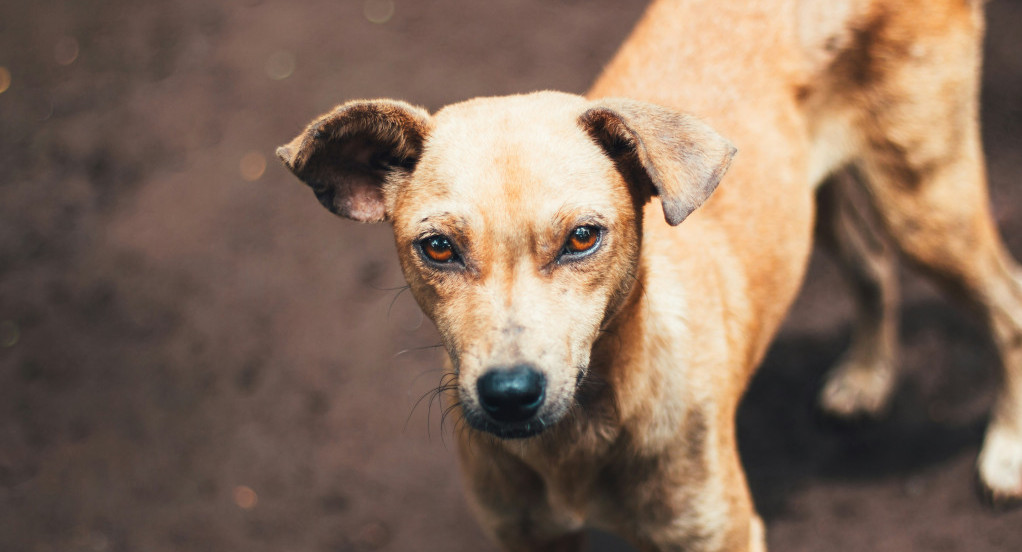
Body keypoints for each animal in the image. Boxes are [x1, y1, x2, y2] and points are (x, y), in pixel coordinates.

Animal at [277, 0, 1021, 547]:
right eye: (436, 248)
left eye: (583, 237)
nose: (510, 393)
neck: (583, 436)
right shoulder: (528, 536)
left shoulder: (720, 534)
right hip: (817, 199)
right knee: (872, 266)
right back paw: (866, 376)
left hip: (925, 201)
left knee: (1007, 306)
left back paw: (1006, 453)